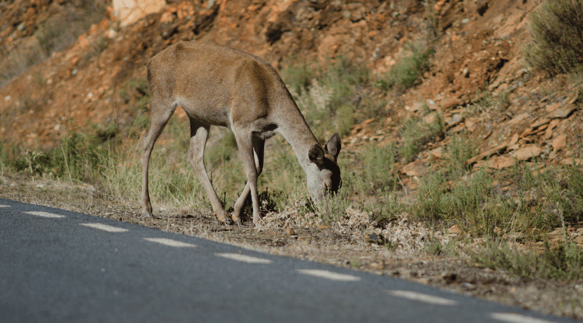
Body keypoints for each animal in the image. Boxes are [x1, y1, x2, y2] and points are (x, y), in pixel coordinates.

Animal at [142, 41, 342, 228]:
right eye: (326, 184)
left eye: (339, 185)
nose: (327, 216)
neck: (272, 109)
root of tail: (150, 63)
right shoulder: (240, 125)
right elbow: (251, 171)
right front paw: (257, 219)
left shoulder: (260, 134)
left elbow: (259, 168)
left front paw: (236, 213)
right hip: (162, 98)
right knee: (146, 142)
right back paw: (147, 208)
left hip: (199, 117)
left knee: (194, 155)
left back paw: (221, 214)